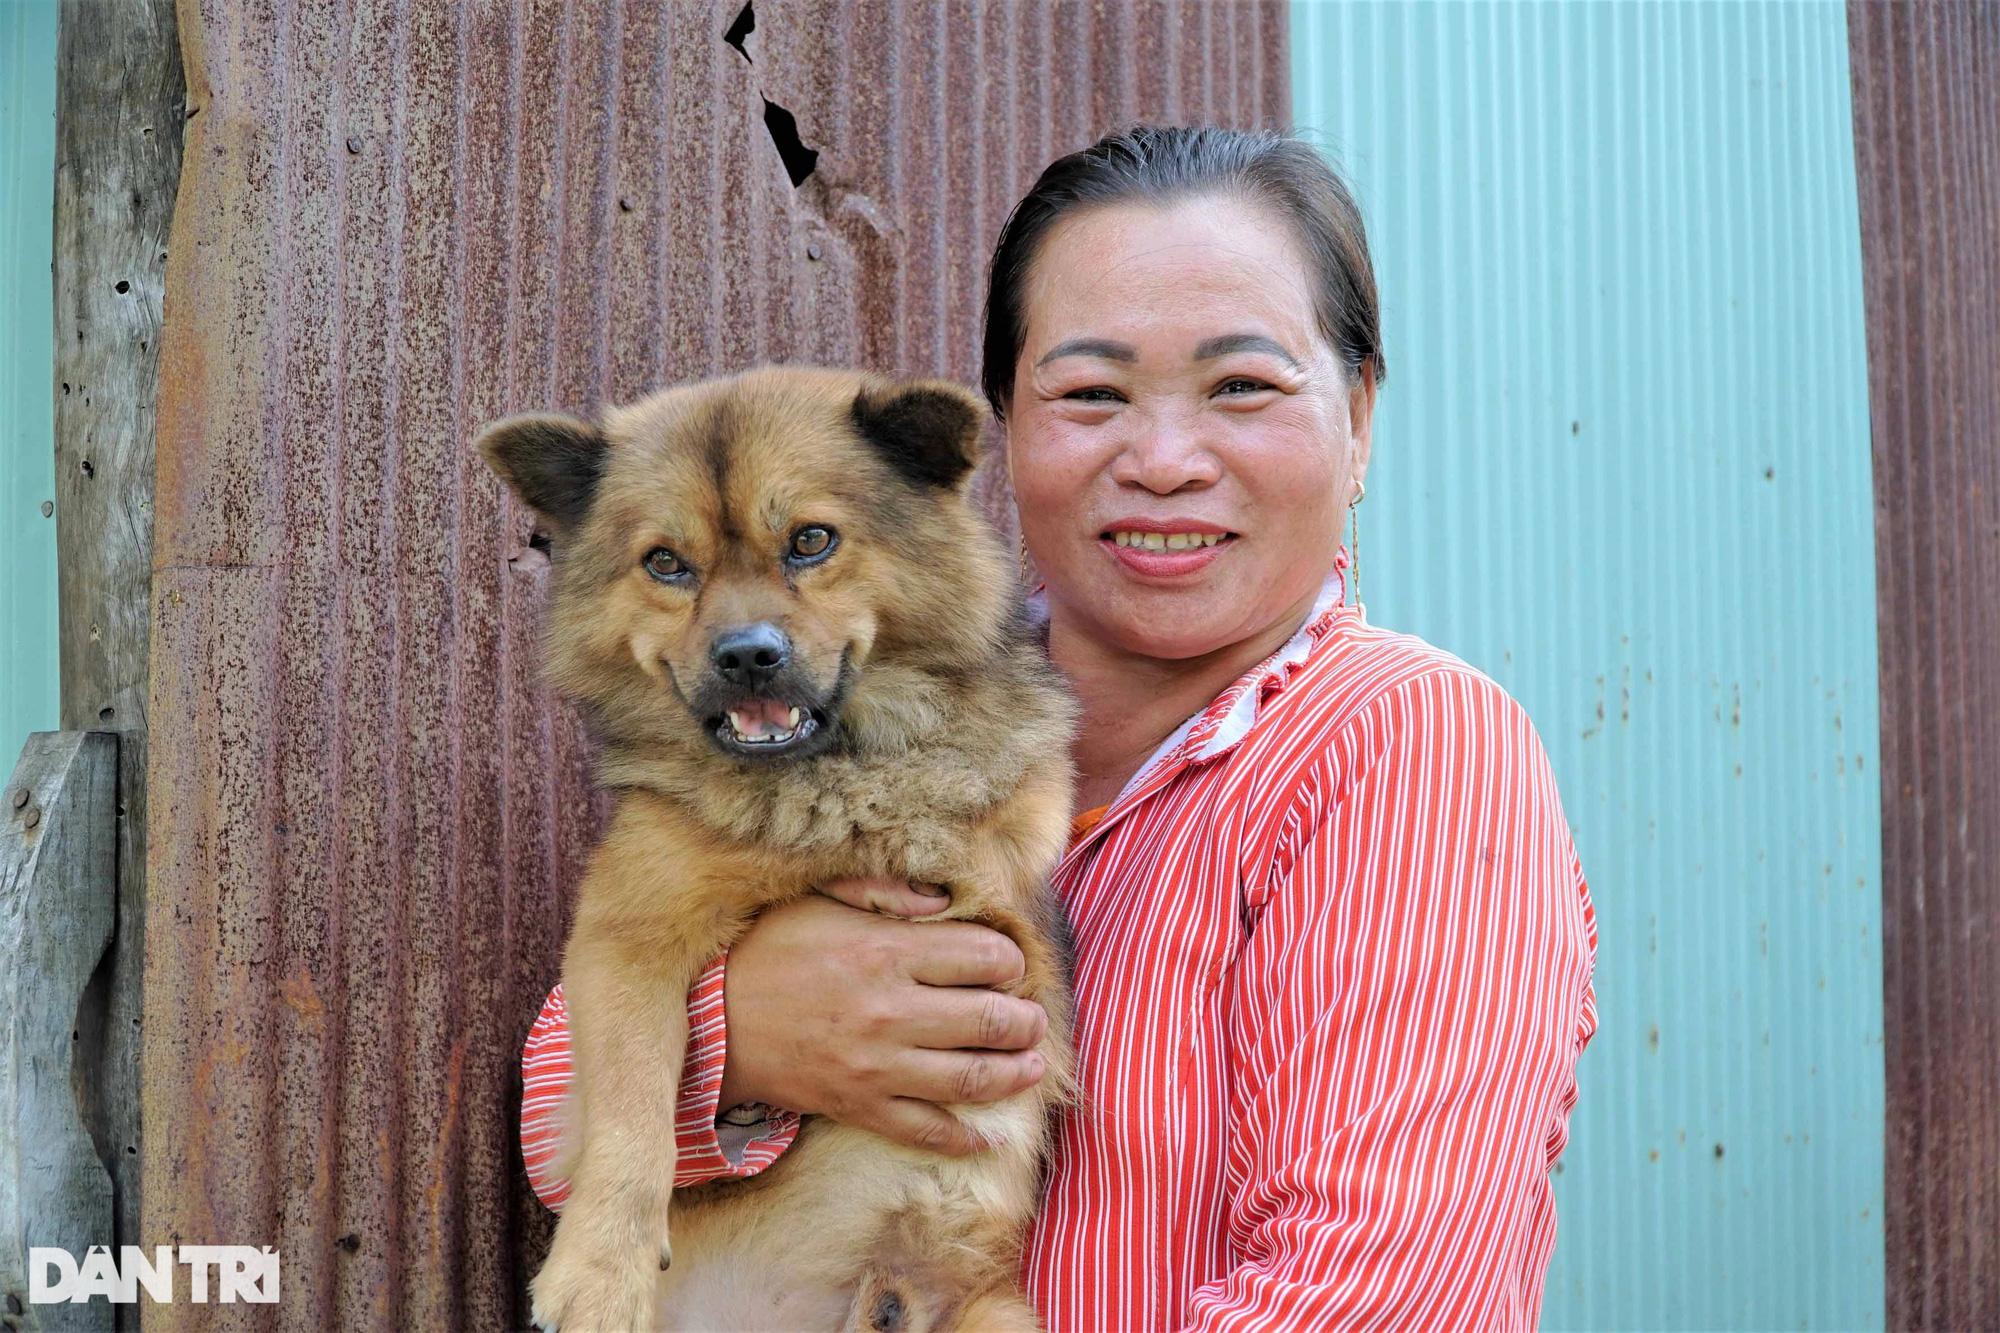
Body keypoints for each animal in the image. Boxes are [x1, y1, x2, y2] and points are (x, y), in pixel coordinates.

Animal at [480, 366, 1080, 1328]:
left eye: (810, 540)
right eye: (665, 562)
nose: (746, 656)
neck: (818, 779)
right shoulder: (625, 940)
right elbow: (633, 1105)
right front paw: (601, 1268)